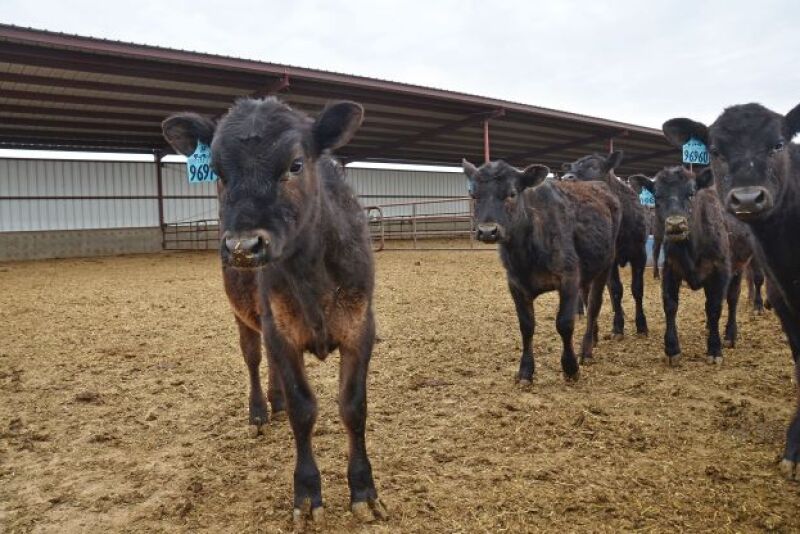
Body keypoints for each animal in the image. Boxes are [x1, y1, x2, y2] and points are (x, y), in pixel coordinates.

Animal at [162, 98, 387, 527]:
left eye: (296, 164)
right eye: (218, 172)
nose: (243, 247)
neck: (313, 273)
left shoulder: (359, 328)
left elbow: (353, 407)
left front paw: (364, 492)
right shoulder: (280, 329)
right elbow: (304, 409)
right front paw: (307, 495)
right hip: (245, 316)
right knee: (253, 358)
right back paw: (260, 412)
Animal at [462, 159, 621, 384]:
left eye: (512, 193)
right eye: (474, 195)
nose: (487, 231)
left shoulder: (569, 277)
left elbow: (564, 323)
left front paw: (570, 367)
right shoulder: (515, 284)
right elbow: (526, 326)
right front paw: (525, 371)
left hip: (606, 263)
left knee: (594, 306)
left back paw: (587, 350)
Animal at [562, 152, 649, 339]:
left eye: (594, 167)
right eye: (572, 167)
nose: (566, 178)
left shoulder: (640, 253)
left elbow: (637, 288)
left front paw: (641, 325)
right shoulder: (612, 258)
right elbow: (616, 290)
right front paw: (618, 326)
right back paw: (580, 312)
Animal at [631, 167, 731, 366]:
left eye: (691, 193)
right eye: (657, 196)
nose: (676, 224)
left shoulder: (720, 271)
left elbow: (715, 307)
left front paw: (715, 348)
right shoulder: (670, 269)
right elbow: (670, 305)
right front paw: (672, 348)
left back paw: (731, 335)